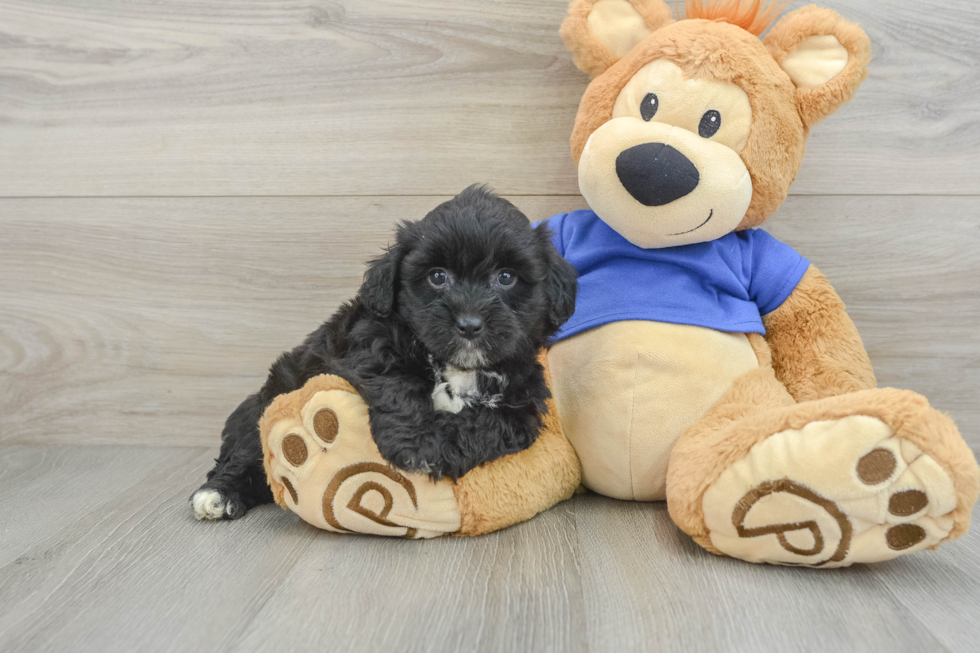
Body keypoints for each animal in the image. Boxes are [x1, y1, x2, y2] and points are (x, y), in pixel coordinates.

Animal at [190, 185, 576, 520]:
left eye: (506, 278)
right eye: (438, 276)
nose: (469, 324)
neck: (458, 367)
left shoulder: (522, 406)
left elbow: (486, 423)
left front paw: (439, 448)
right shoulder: (370, 344)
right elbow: (396, 383)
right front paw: (417, 446)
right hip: (267, 400)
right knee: (245, 450)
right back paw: (218, 494)